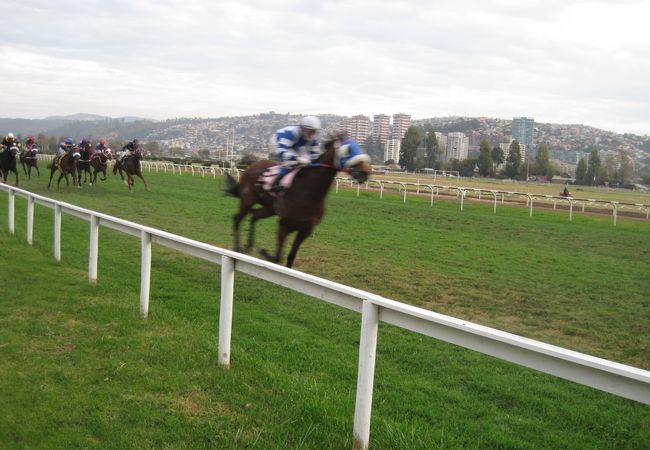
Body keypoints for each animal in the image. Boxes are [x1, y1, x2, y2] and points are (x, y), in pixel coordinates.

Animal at [224, 138, 370, 268]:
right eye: (349, 150)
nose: (366, 172)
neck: (309, 194)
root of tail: (252, 166)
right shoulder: (284, 225)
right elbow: (278, 257)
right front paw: (266, 253)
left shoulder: (305, 230)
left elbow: (290, 257)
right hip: (247, 200)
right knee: (237, 218)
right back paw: (238, 247)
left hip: (269, 209)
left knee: (254, 215)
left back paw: (248, 246)